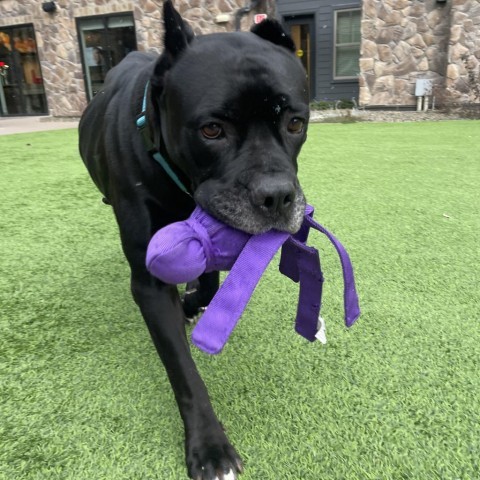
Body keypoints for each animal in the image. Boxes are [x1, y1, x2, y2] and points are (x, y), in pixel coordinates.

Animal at [78, 1, 312, 478]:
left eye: (296, 122)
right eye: (211, 130)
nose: (277, 196)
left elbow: (208, 279)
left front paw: (192, 301)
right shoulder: (149, 281)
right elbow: (184, 371)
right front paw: (209, 446)